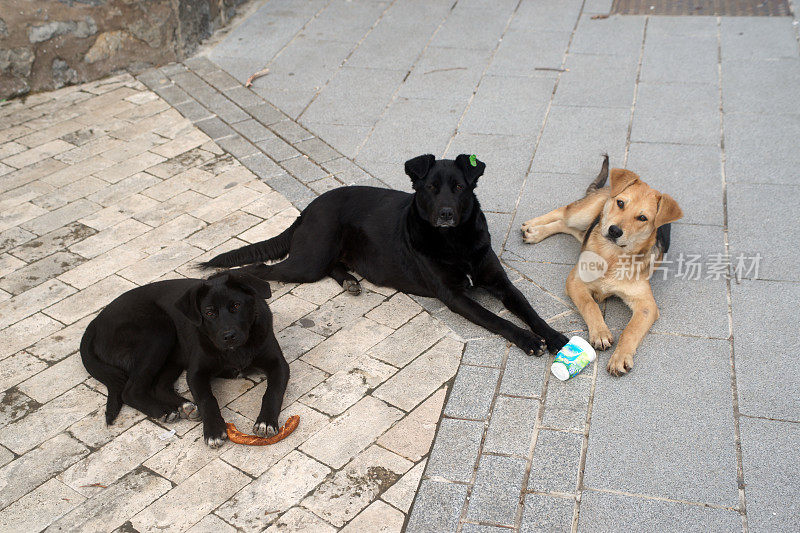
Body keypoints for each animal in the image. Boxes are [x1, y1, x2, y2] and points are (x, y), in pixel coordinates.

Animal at [78, 268, 290, 446]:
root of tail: (95, 322)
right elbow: (207, 399)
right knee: (130, 390)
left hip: (172, 354)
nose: (228, 336)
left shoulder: (278, 364)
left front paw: (266, 422)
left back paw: (185, 406)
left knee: (158, 386)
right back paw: (164, 411)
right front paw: (213, 431)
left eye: (236, 306)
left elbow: (272, 391)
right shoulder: (196, 372)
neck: (235, 351)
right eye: (209, 312)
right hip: (158, 332)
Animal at [203, 154, 572, 354]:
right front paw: (527, 340)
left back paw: (350, 281)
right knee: (261, 268)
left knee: (333, 266)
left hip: (323, 257)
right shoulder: (455, 297)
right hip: (307, 261)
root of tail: (307, 209)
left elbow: (530, 311)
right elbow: (497, 320)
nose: (446, 214)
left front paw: (555, 337)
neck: (455, 241)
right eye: (431, 188)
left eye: (459, 187)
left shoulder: (501, 283)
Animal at [520, 156, 684, 374]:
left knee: (567, 226)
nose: (614, 230)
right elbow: (590, 305)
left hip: (585, 226)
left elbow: (630, 330)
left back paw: (537, 232)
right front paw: (600, 332)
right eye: (621, 203)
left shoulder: (647, 305)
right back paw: (533, 228)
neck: (611, 255)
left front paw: (620, 356)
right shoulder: (575, 281)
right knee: (563, 212)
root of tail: (607, 188)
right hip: (585, 212)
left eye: (642, 218)